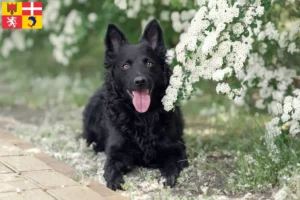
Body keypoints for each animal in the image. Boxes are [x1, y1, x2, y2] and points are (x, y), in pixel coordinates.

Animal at [82, 19, 188, 190]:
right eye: (126, 66)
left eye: (149, 63)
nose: (140, 81)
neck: (142, 118)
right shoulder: (116, 152)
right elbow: (110, 167)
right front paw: (114, 180)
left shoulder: (176, 149)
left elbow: (171, 164)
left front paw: (168, 176)